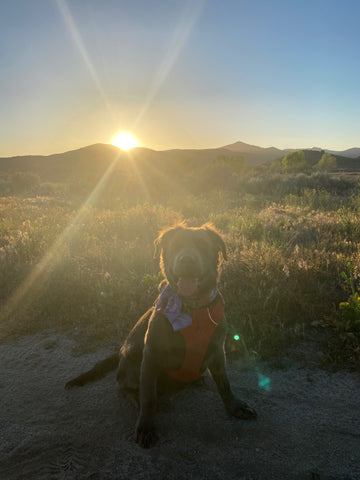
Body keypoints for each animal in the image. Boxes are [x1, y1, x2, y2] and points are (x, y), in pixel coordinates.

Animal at [65, 223, 256, 448]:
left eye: (202, 245)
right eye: (176, 245)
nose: (187, 260)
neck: (193, 309)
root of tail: (120, 351)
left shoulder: (217, 351)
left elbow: (225, 384)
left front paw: (234, 407)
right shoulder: (151, 356)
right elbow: (148, 397)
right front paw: (146, 426)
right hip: (132, 361)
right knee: (126, 388)